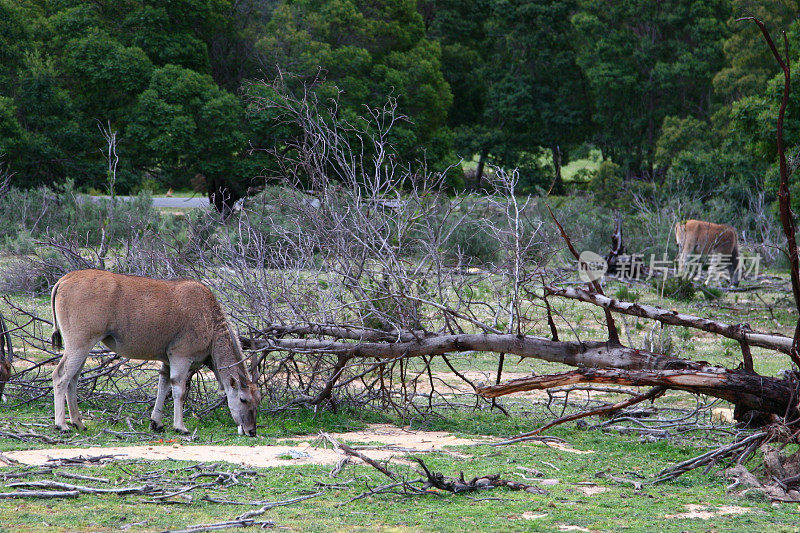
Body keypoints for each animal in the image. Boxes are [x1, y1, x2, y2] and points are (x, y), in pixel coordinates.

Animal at [50, 268, 260, 434]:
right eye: (243, 399)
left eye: (257, 401)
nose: (251, 431)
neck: (210, 319)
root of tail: (64, 280)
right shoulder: (181, 356)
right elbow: (178, 389)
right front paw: (180, 427)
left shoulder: (167, 361)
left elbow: (163, 386)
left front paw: (156, 423)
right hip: (79, 344)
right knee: (60, 376)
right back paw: (62, 425)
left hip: (83, 348)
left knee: (73, 379)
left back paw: (78, 423)